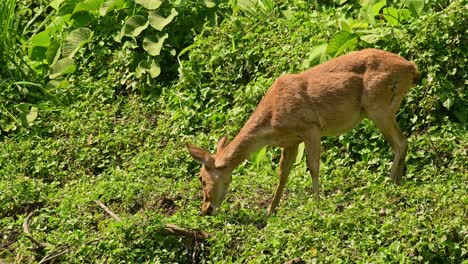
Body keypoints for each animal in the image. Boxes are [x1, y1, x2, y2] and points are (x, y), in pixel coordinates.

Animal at [187, 48, 420, 216]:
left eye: (201, 178)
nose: (206, 210)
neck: (271, 123)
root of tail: (412, 68)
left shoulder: (311, 127)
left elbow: (313, 167)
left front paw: (316, 205)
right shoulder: (291, 141)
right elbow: (283, 174)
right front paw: (269, 211)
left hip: (379, 106)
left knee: (400, 142)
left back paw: (389, 183)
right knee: (402, 142)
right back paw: (398, 181)